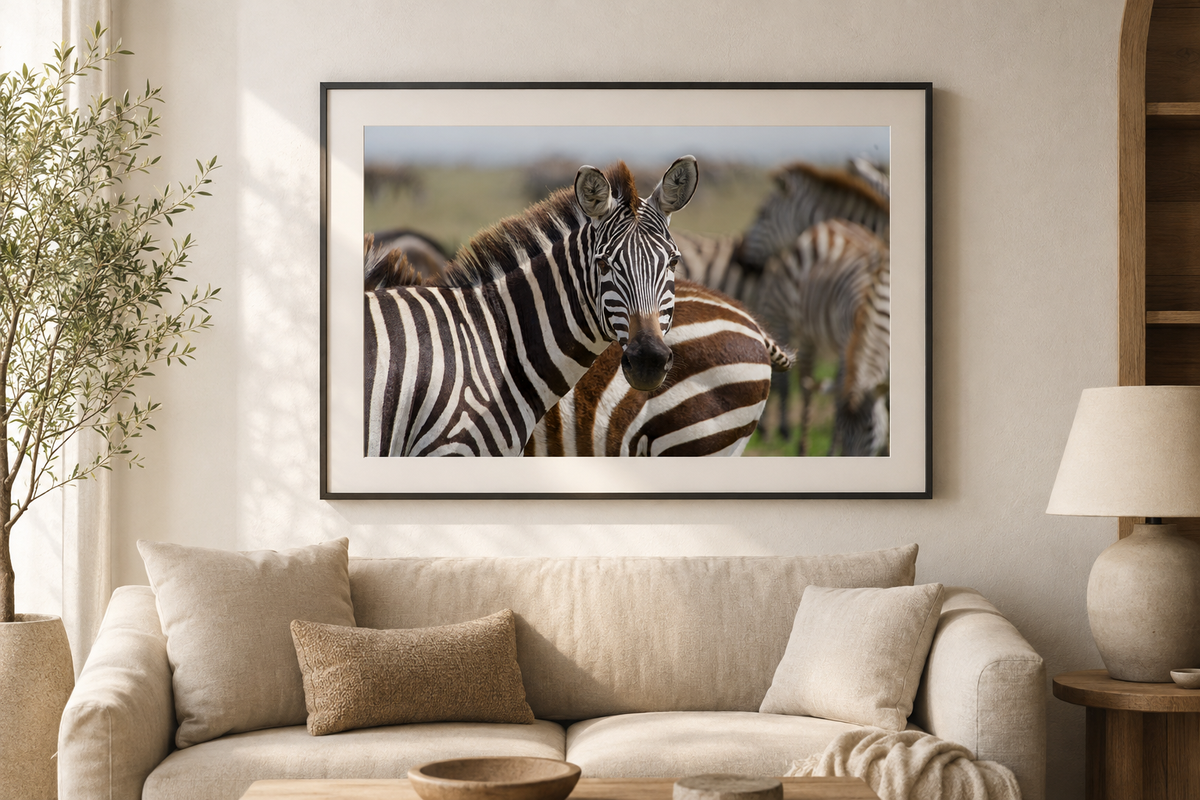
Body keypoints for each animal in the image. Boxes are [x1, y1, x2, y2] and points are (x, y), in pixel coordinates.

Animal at [757, 219, 890, 456]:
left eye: (870, 428)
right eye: (844, 429)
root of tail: (832, 224)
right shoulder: (845, 340)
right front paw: (832, 450)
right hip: (804, 331)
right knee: (806, 386)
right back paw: (802, 447)